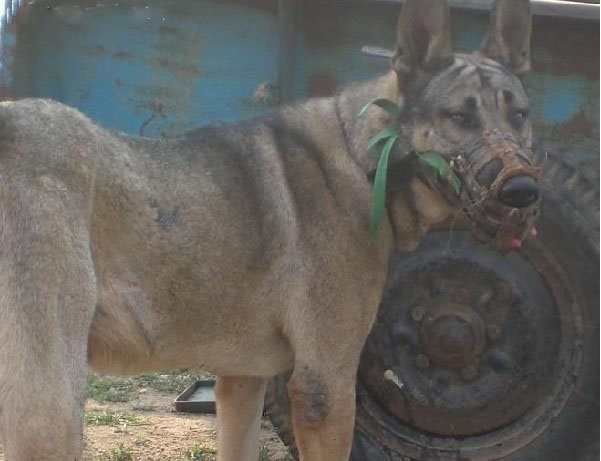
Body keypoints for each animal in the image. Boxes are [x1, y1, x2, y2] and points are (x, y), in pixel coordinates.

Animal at [0, 0, 540, 458]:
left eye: (520, 115)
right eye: (459, 117)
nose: (524, 191)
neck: (363, 157)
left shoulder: (241, 382)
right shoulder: (326, 387)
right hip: (52, 409)